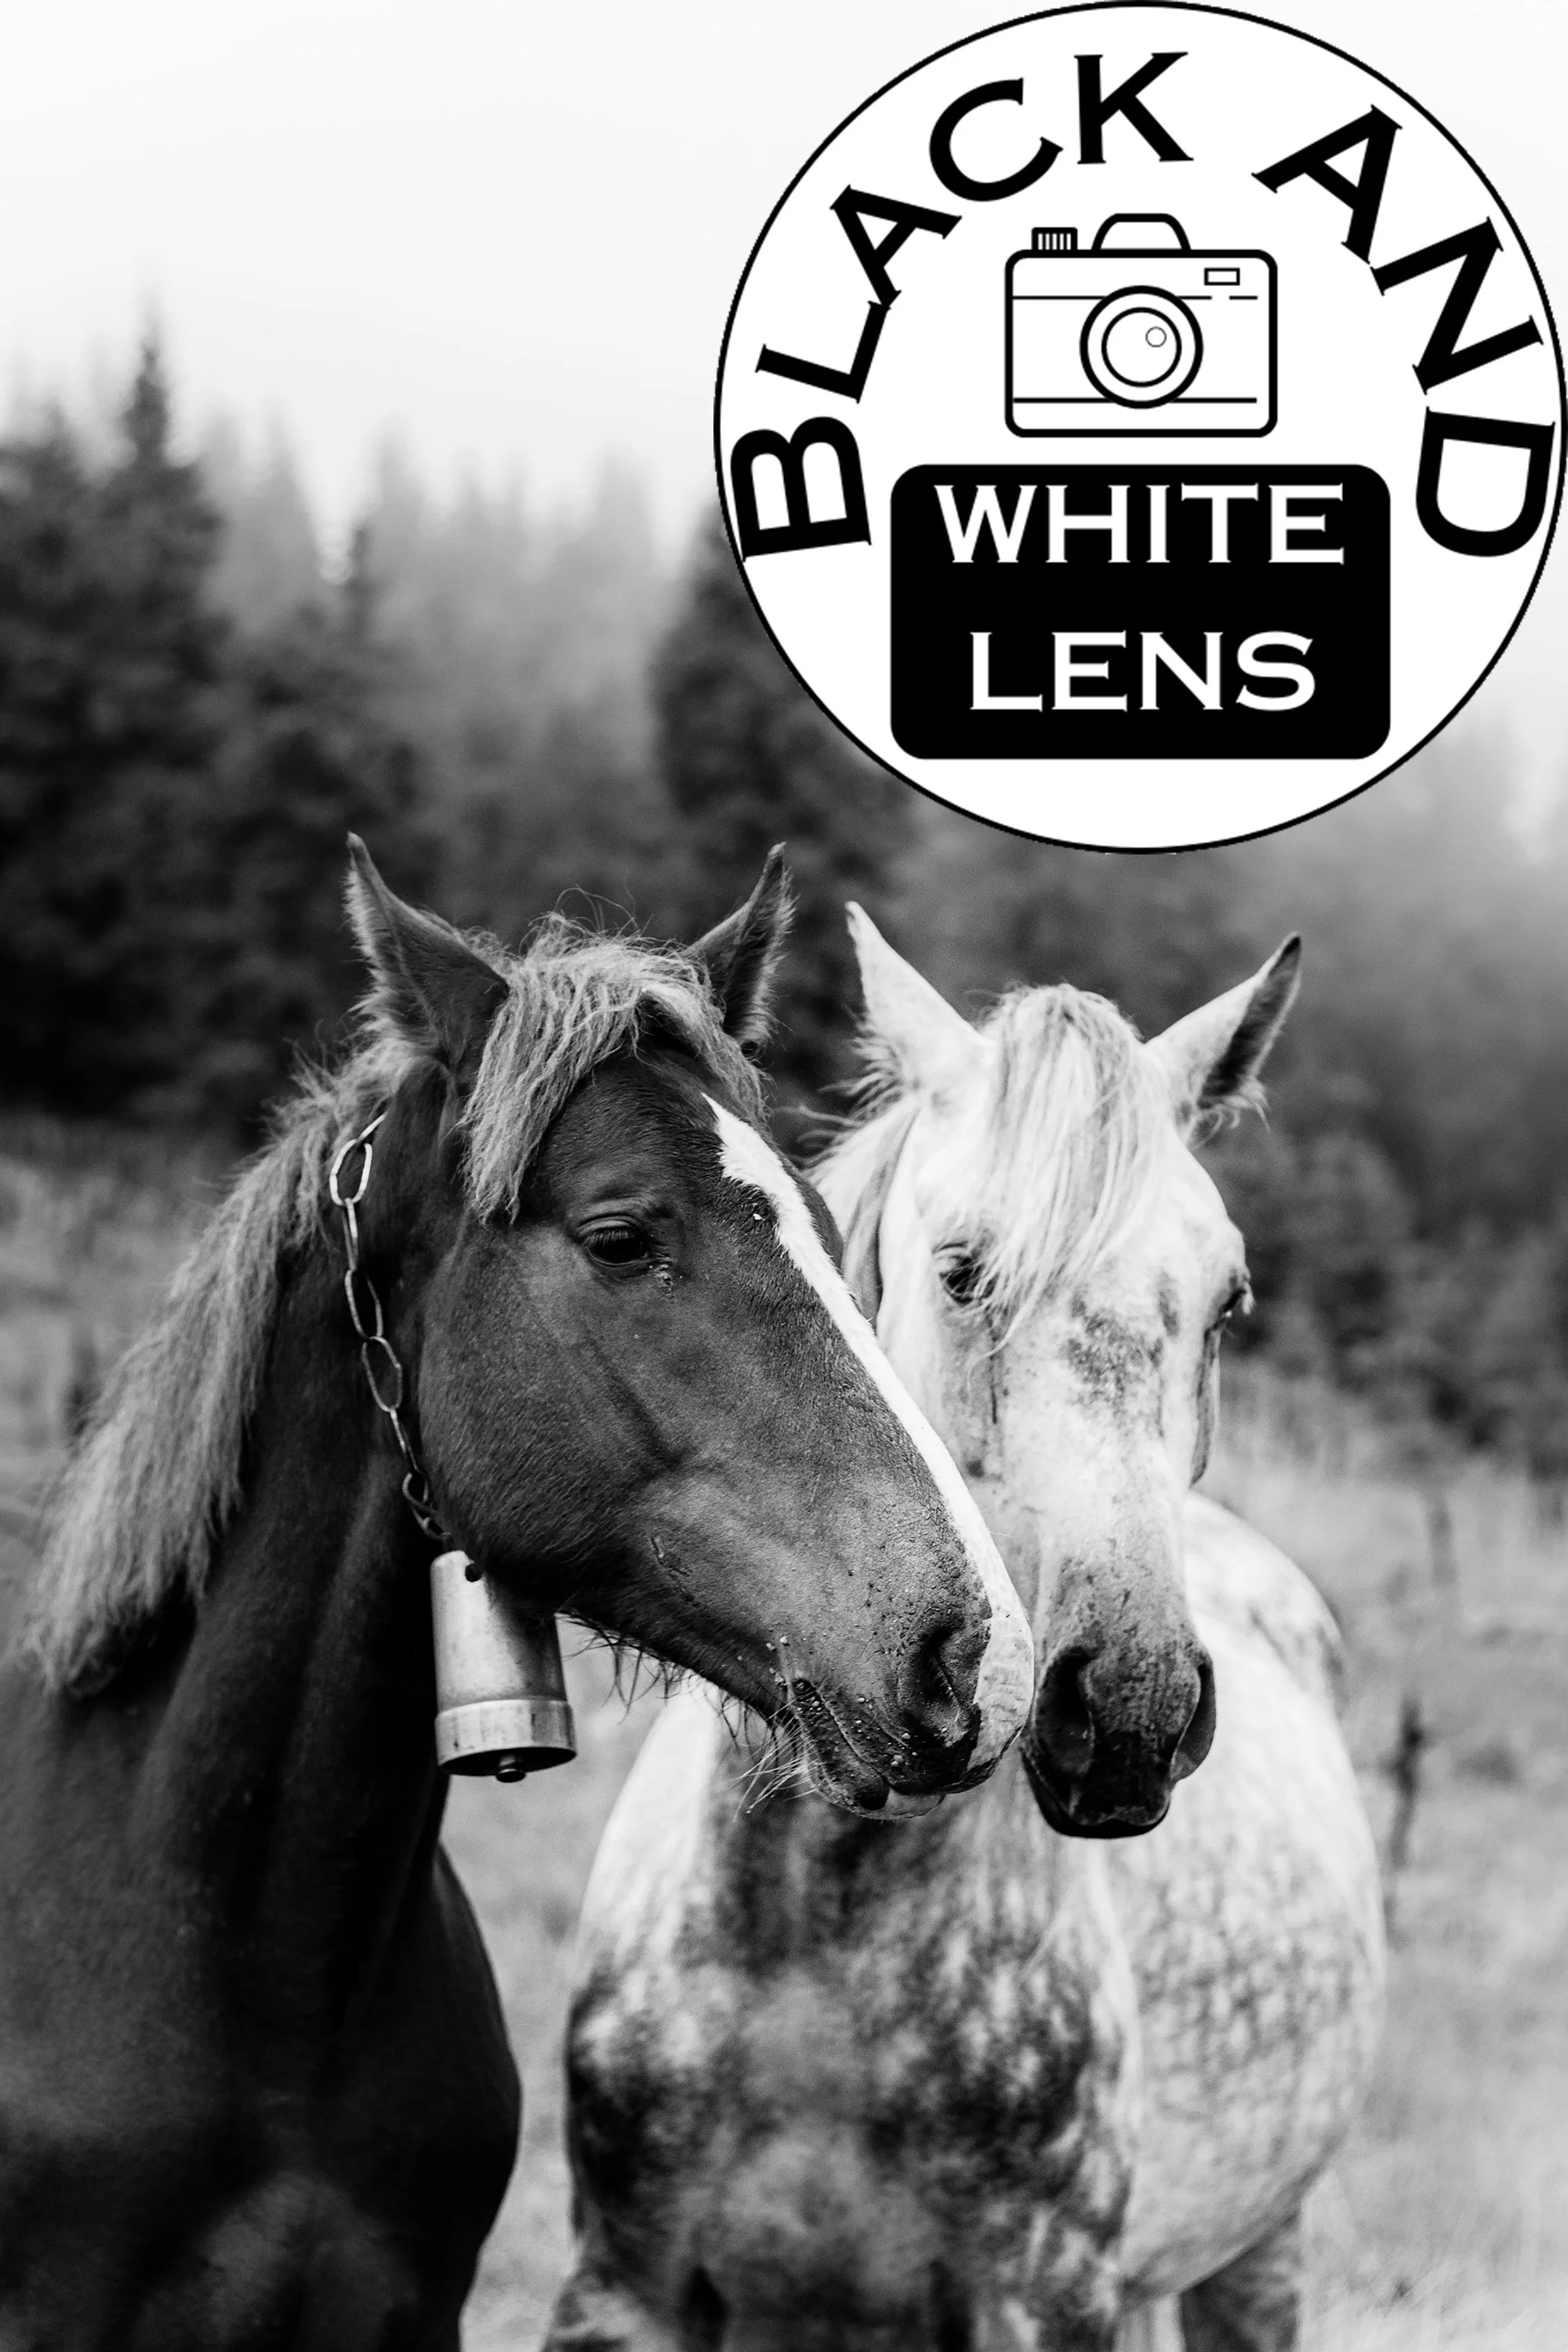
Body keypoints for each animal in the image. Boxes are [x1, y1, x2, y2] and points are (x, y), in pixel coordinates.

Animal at [549, 913, 1384, 2352]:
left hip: (1257, 2253)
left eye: (1227, 1301)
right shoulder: (625, 2291)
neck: (812, 1930)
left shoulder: (1045, 2303)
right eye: (962, 1272)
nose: (1133, 1714)